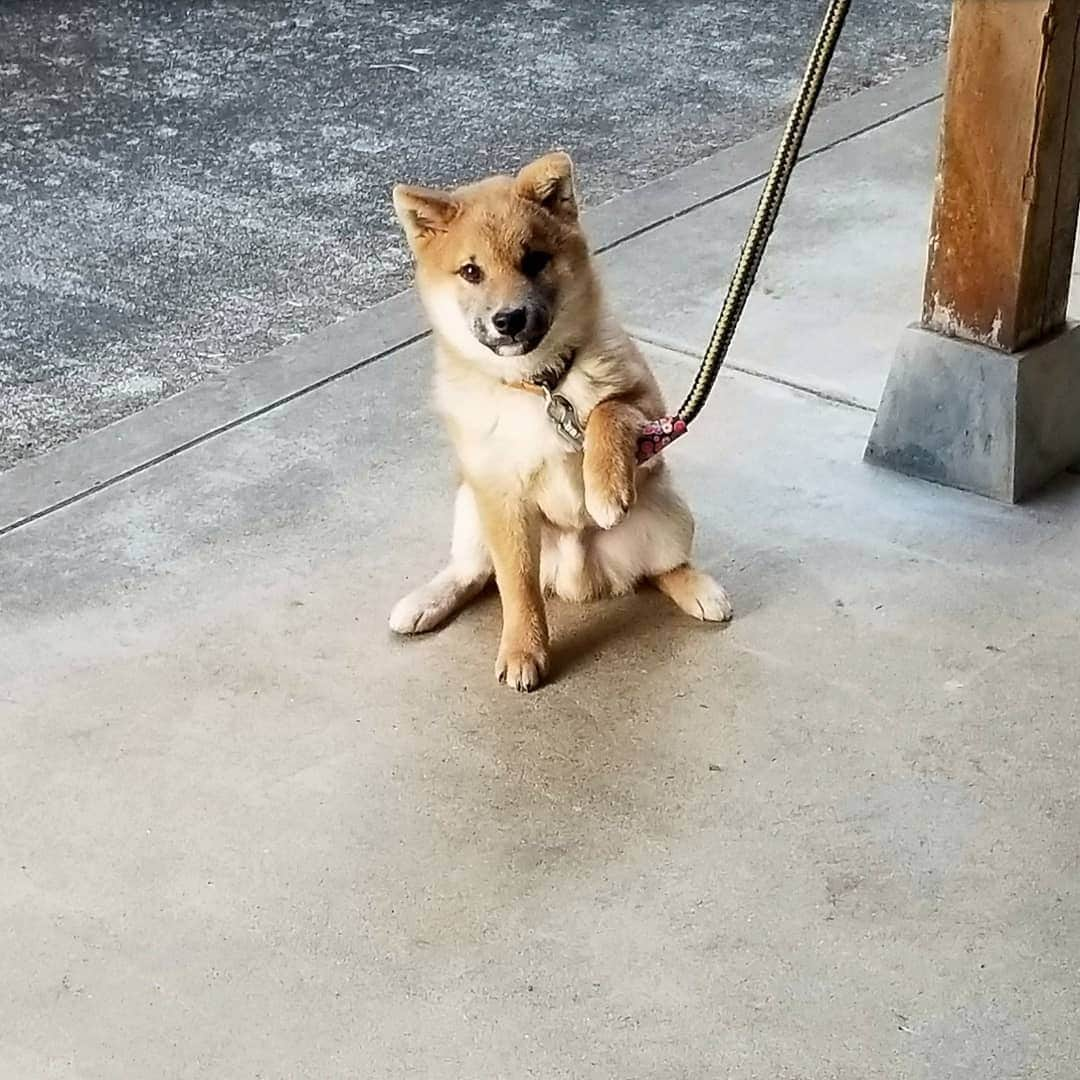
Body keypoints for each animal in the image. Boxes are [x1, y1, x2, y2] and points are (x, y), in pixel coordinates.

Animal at [388, 152, 734, 691]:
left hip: (668, 511)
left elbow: (607, 411)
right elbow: (516, 588)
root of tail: (580, 578)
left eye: (534, 260)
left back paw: (698, 588)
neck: (539, 385)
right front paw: (523, 649)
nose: (508, 319)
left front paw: (604, 487)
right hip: (470, 505)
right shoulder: (500, 493)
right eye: (471, 272)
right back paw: (426, 601)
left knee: (663, 567)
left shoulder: (652, 410)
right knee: (474, 572)